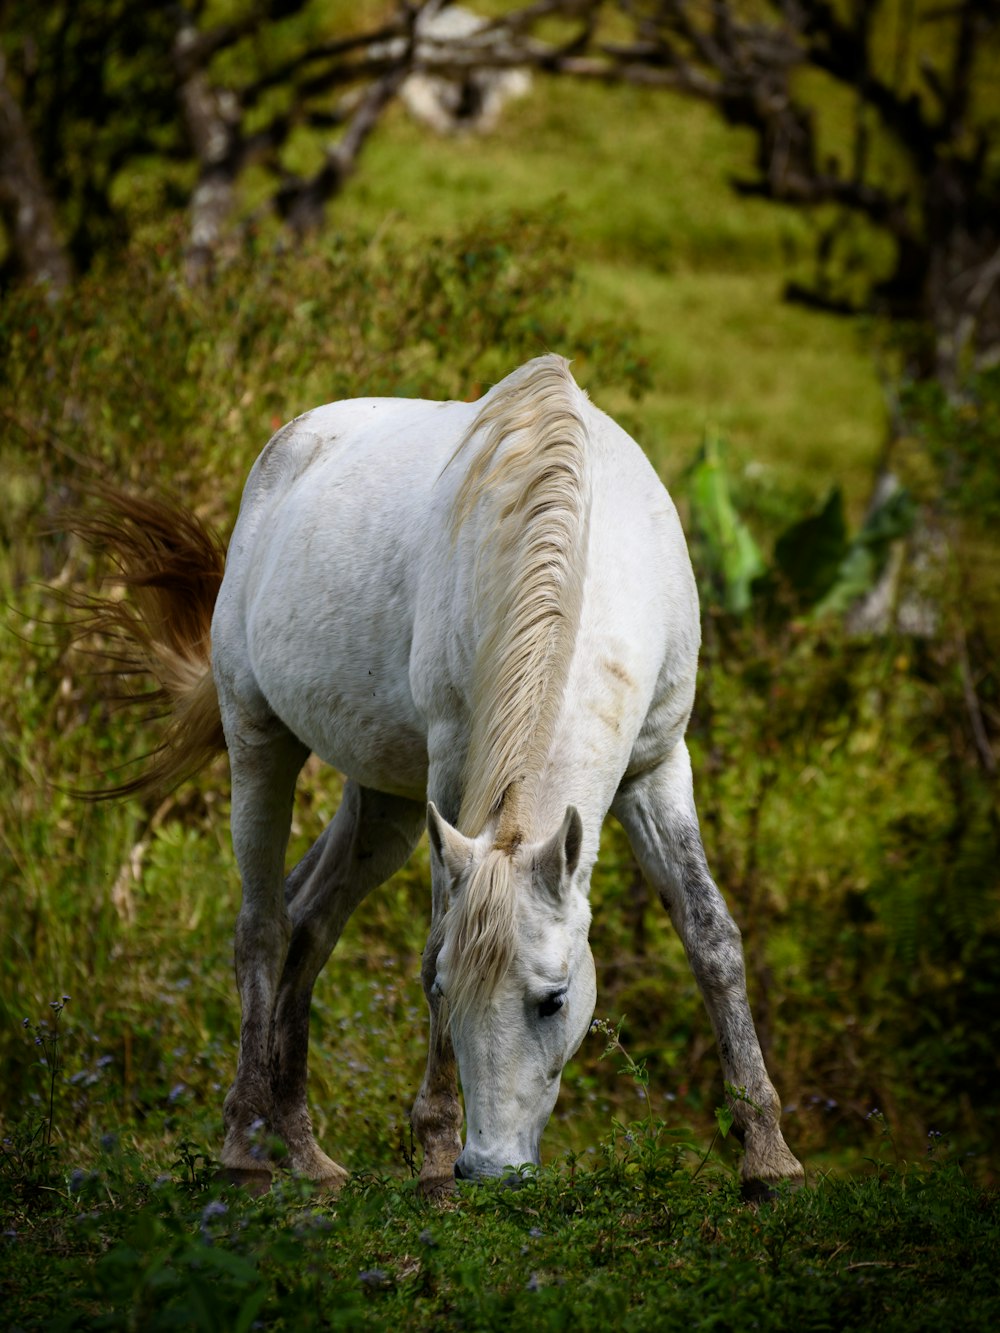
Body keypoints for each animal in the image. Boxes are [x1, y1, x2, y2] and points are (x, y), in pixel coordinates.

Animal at [86, 354, 805, 1199]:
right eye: (446, 993)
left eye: (555, 999)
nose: (488, 1166)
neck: (579, 547)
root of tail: (290, 442)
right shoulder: (455, 768)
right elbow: (434, 937)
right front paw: (433, 1153)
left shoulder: (657, 767)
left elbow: (711, 936)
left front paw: (769, 1153)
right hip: (259, 738)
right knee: (261, 927)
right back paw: (245, 1147)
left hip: (385, 804)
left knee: (308, 916)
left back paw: (306, 1152)